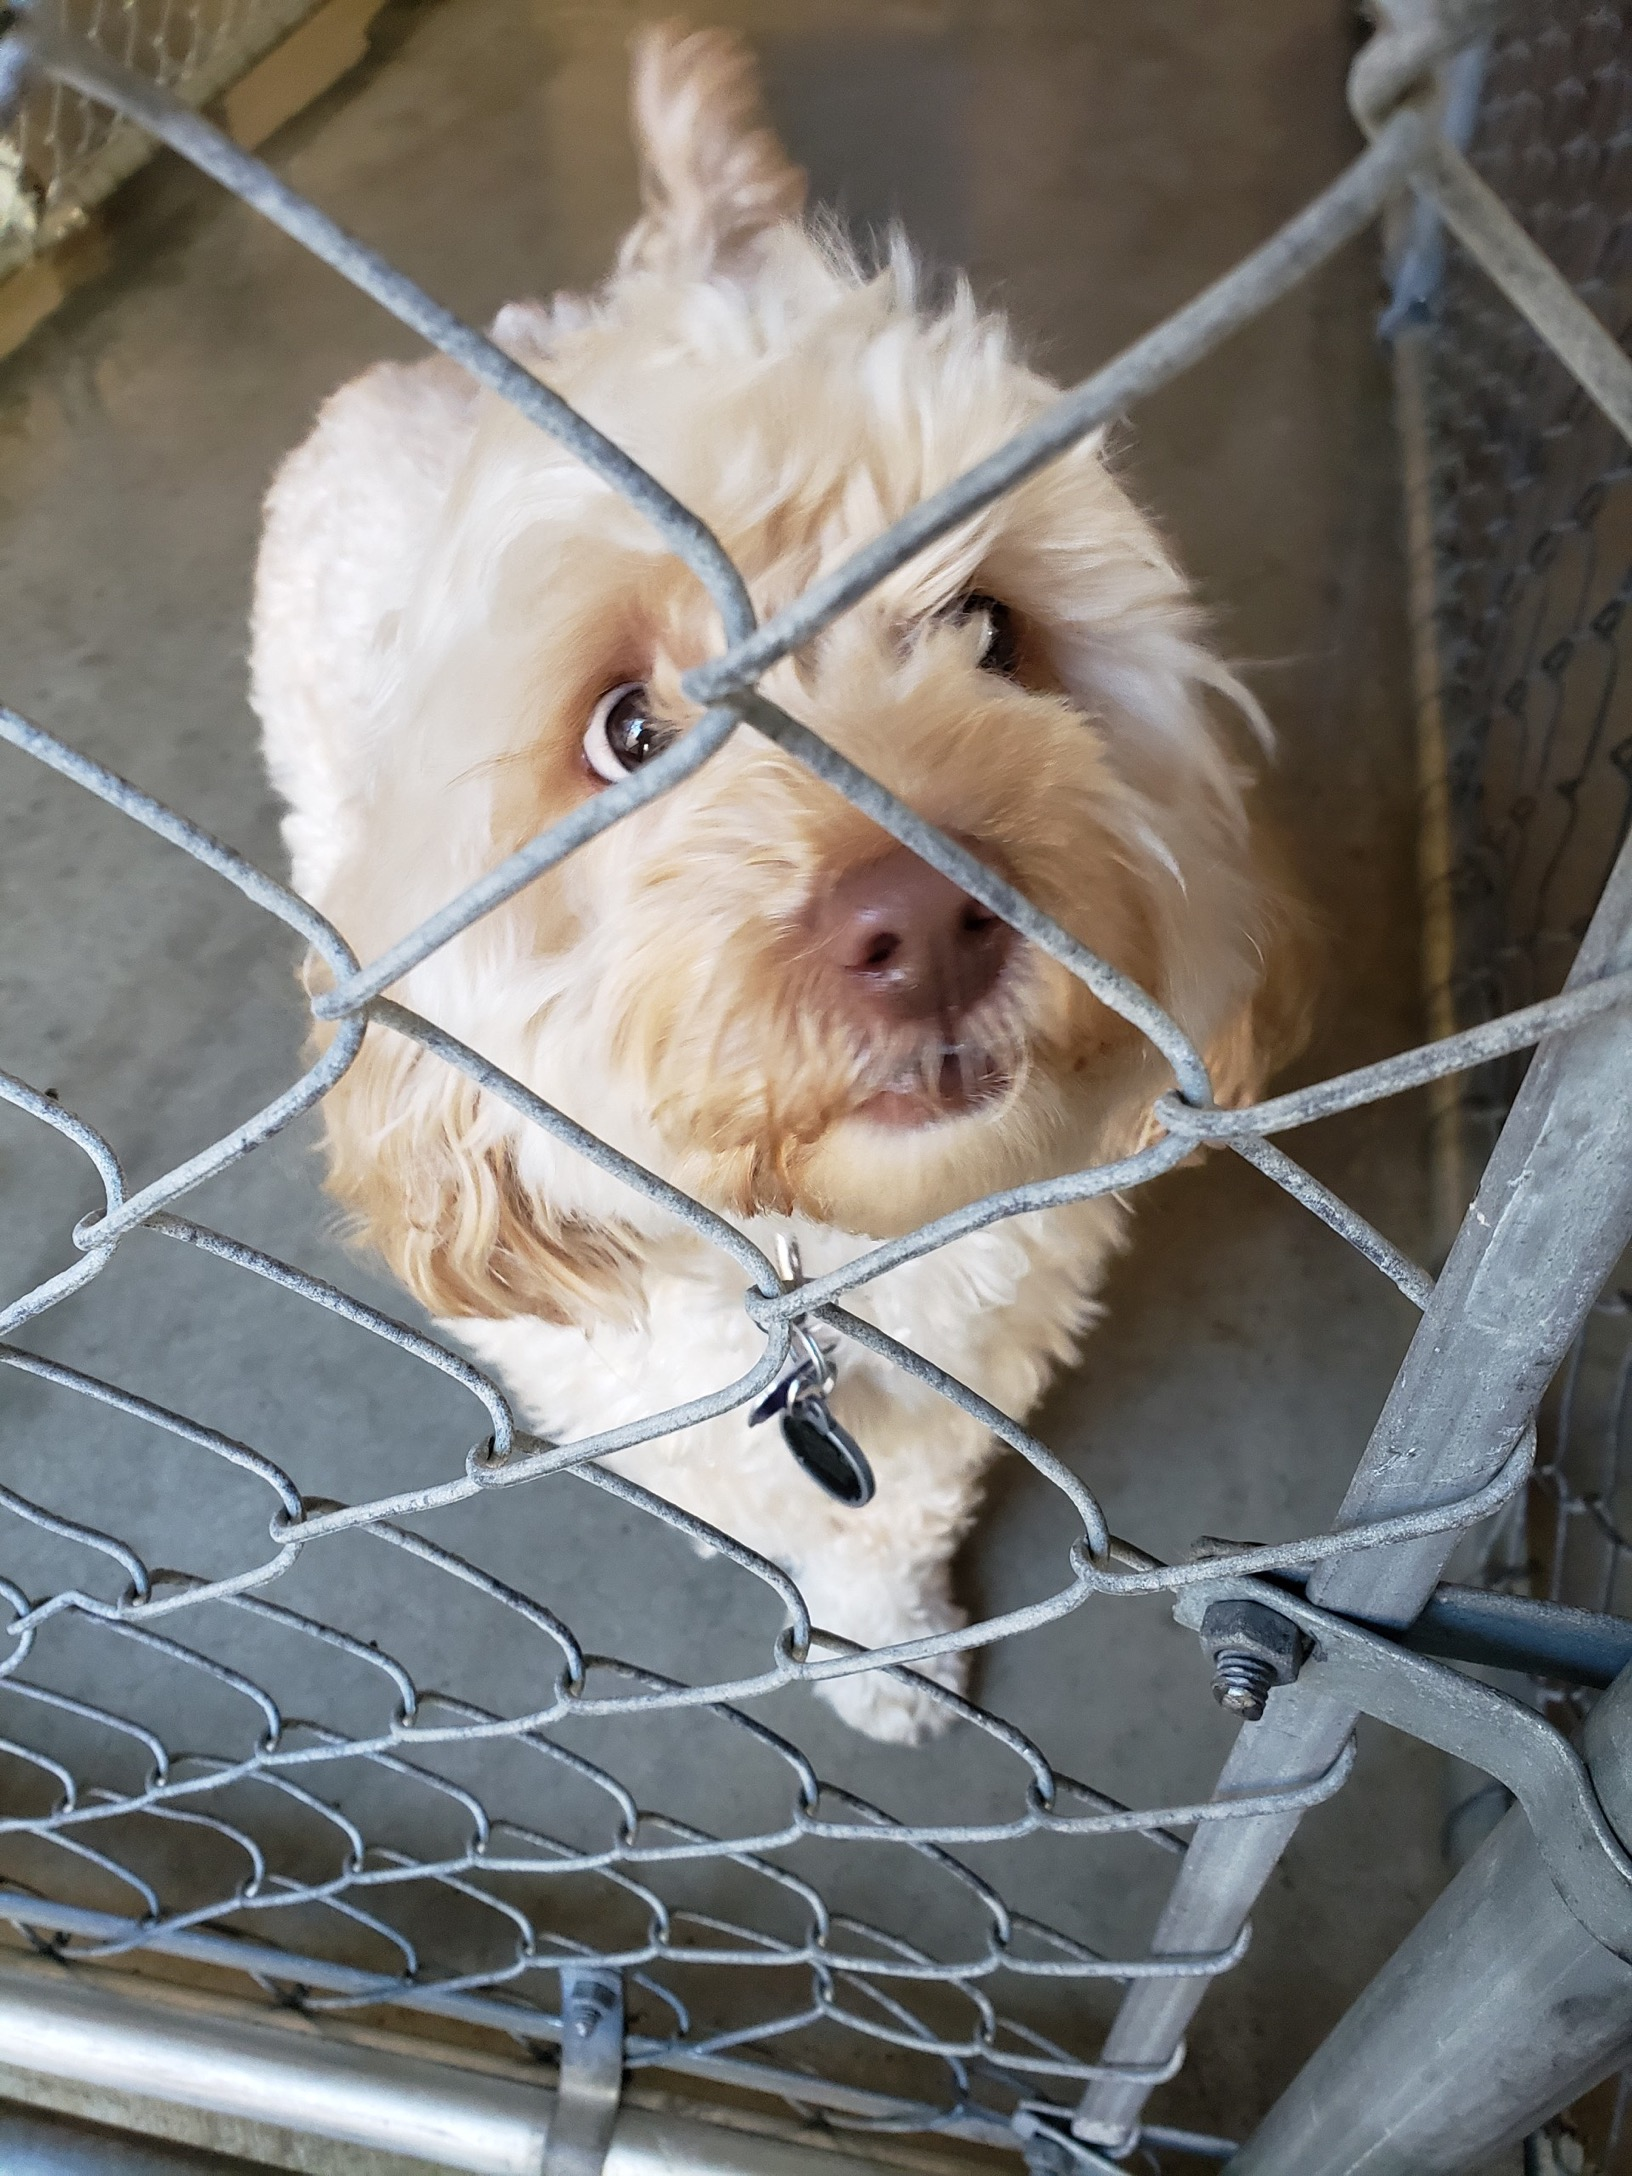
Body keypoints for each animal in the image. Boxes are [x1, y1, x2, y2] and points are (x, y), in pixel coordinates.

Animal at [252, 23, 1306, 1743]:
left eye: (991, 631)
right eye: (626, 731)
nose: (929, 921)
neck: (814, 1264)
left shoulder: (972, 1346)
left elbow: (907, 1494)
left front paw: (896, 1630)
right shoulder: (655, 1391)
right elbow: (788, 1510)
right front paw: (868, 1639)